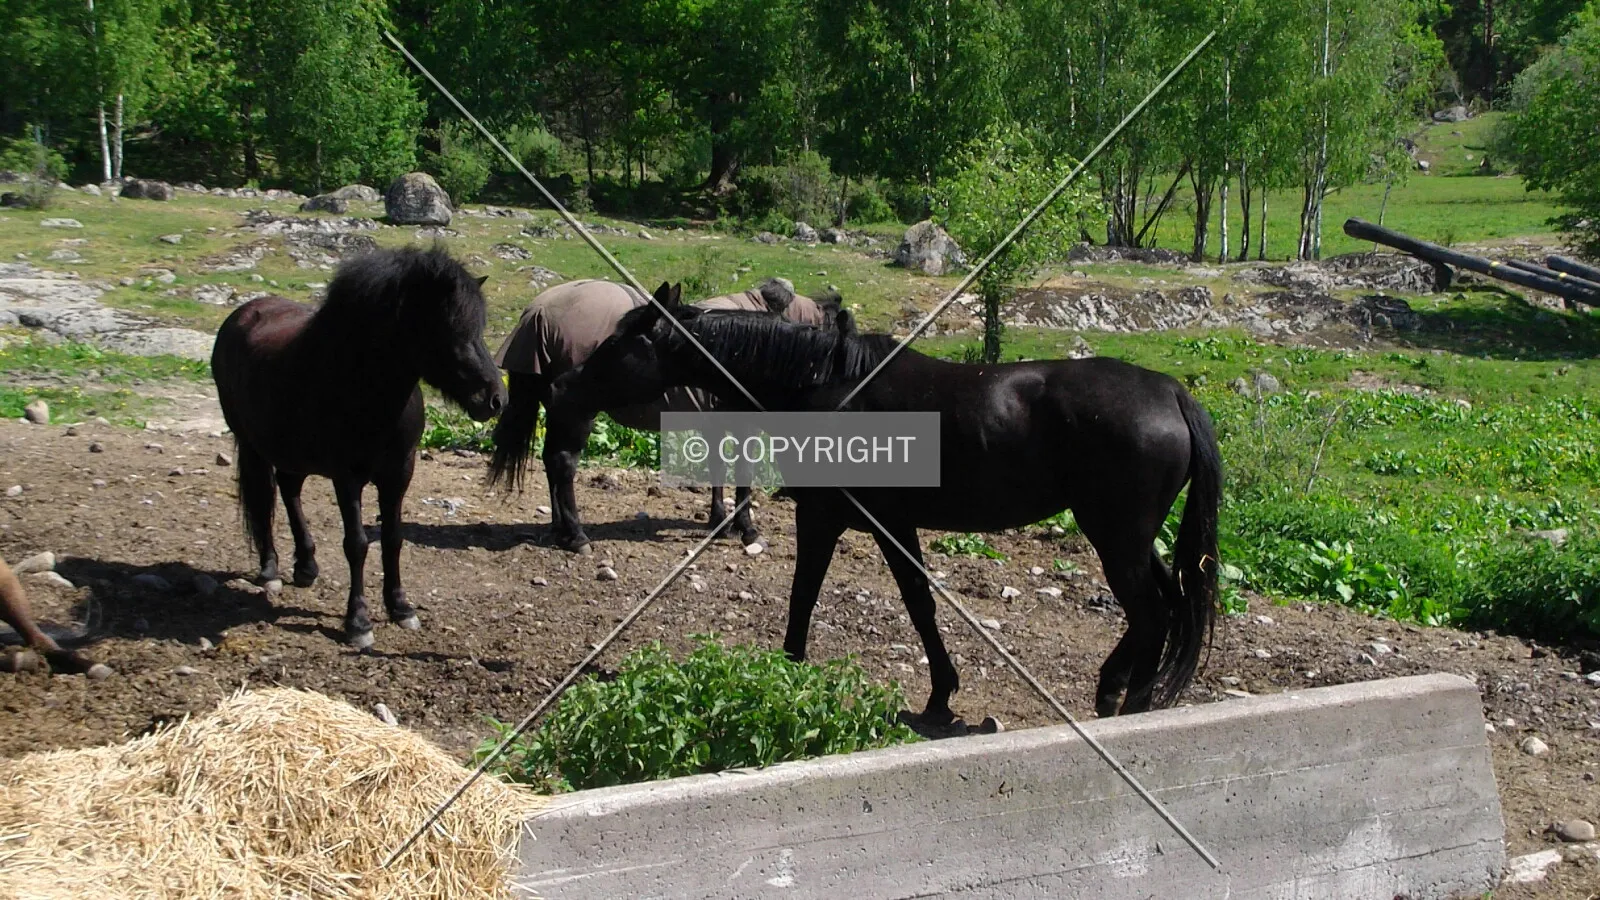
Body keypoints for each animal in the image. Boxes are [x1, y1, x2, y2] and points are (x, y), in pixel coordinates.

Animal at [211, 245, 507, 650]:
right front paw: (359, 622)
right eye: (448, 327)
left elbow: (393, 539)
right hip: (253, 446)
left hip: (291, 451)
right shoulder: (346, 477)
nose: (495, 399)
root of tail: (242, 315)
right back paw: (270, 570)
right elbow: (357, 544)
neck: (364, 385)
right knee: (264, 497)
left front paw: (401, 608)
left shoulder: (400, 472)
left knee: (289, 490)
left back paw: (306, 567)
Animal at [486, 276, 847, 554]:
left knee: (551, 460)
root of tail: (537, 313)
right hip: (577, 412)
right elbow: (743, 473)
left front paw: (719, 521)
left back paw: (559, 528)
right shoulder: (742, 421)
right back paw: (575, 535)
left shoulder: (715, 419)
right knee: (563, 462)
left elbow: (718, 466)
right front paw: (746, 527)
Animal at [549, 285, 1222, 725]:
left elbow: (813, 595)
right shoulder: (892, 523)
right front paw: (941, 693)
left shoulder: (833, 517)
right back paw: (1117, 690)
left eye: (617, 345)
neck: (824, 383)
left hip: (1116, 536)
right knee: (1166, 606)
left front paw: (790, 674)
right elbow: (918, 604)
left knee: (1152, 614)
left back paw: (1129, 706)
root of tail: (1171, 392)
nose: (565, 388)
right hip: (1128, 537)